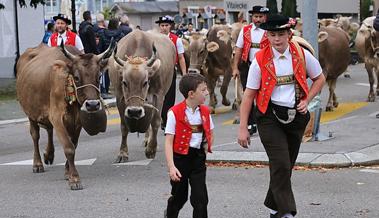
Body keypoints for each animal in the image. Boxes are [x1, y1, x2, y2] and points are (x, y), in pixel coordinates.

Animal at [15, 42, 114, 189]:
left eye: (98, 77)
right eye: (77, 77)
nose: (92, 105)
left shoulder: (77, 121)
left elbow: (74, 144)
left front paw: (68, 172)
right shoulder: (57, 117)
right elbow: (69, 147)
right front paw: (75, 178)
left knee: (49, 130)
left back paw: (49, 155)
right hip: (30, 112)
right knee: (35, 135)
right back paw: (37, 164)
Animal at [108, 29, 177, 162]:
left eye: (145, 82)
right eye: (124, 82)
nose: (134, 111)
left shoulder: (159, 95)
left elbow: (155, 121)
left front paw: (151, 150)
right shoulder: (120, 97)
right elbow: (124, 126)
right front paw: (123, 153)